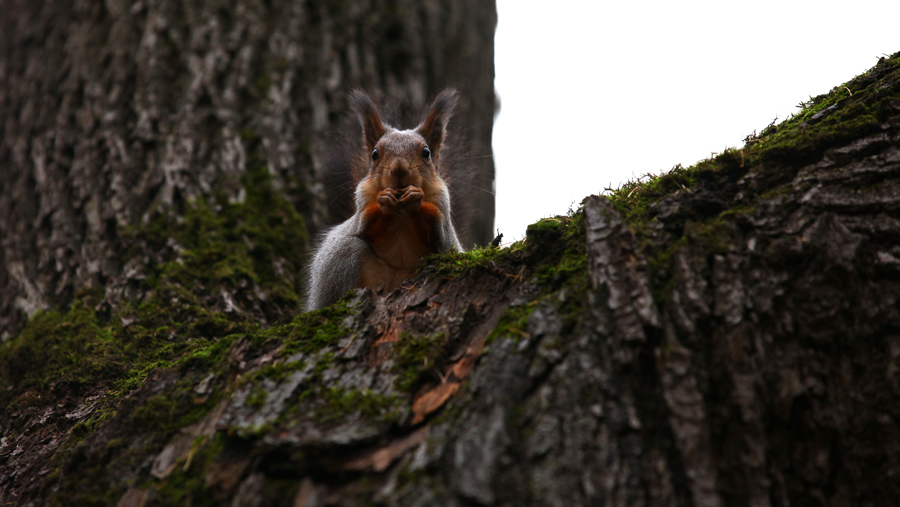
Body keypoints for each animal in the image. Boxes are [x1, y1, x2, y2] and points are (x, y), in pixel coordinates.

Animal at [308, 90, 464, 312]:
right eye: (374, 154)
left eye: (426, 152)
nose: (399, 168)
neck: (401, 212)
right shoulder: (362, 199)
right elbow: (364, 223)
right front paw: (384, 201)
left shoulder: (443, 203)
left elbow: (440, 231)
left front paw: (416, 197)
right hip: (340, 258)